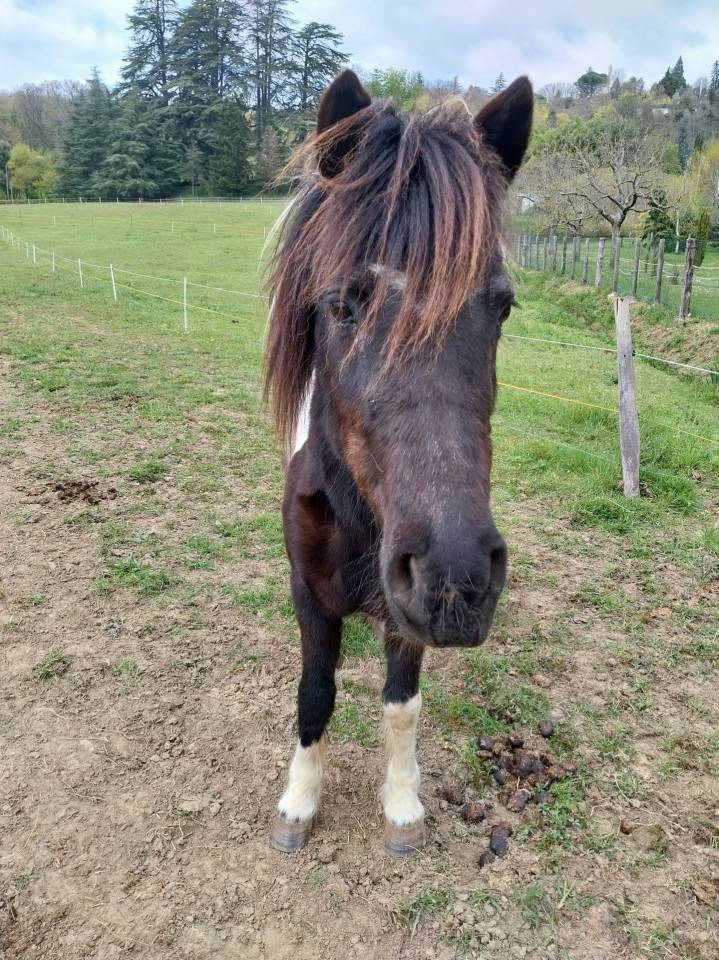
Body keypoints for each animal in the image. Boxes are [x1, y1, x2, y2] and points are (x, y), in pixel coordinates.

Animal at [263, 69, 533, 856]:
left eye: (503, 306)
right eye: (341, 306)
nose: (456, 577)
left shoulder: (402, 608)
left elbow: (401, 705)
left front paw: (402, 806)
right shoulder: (309, 594)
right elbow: (315, 693)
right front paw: (298, 805)